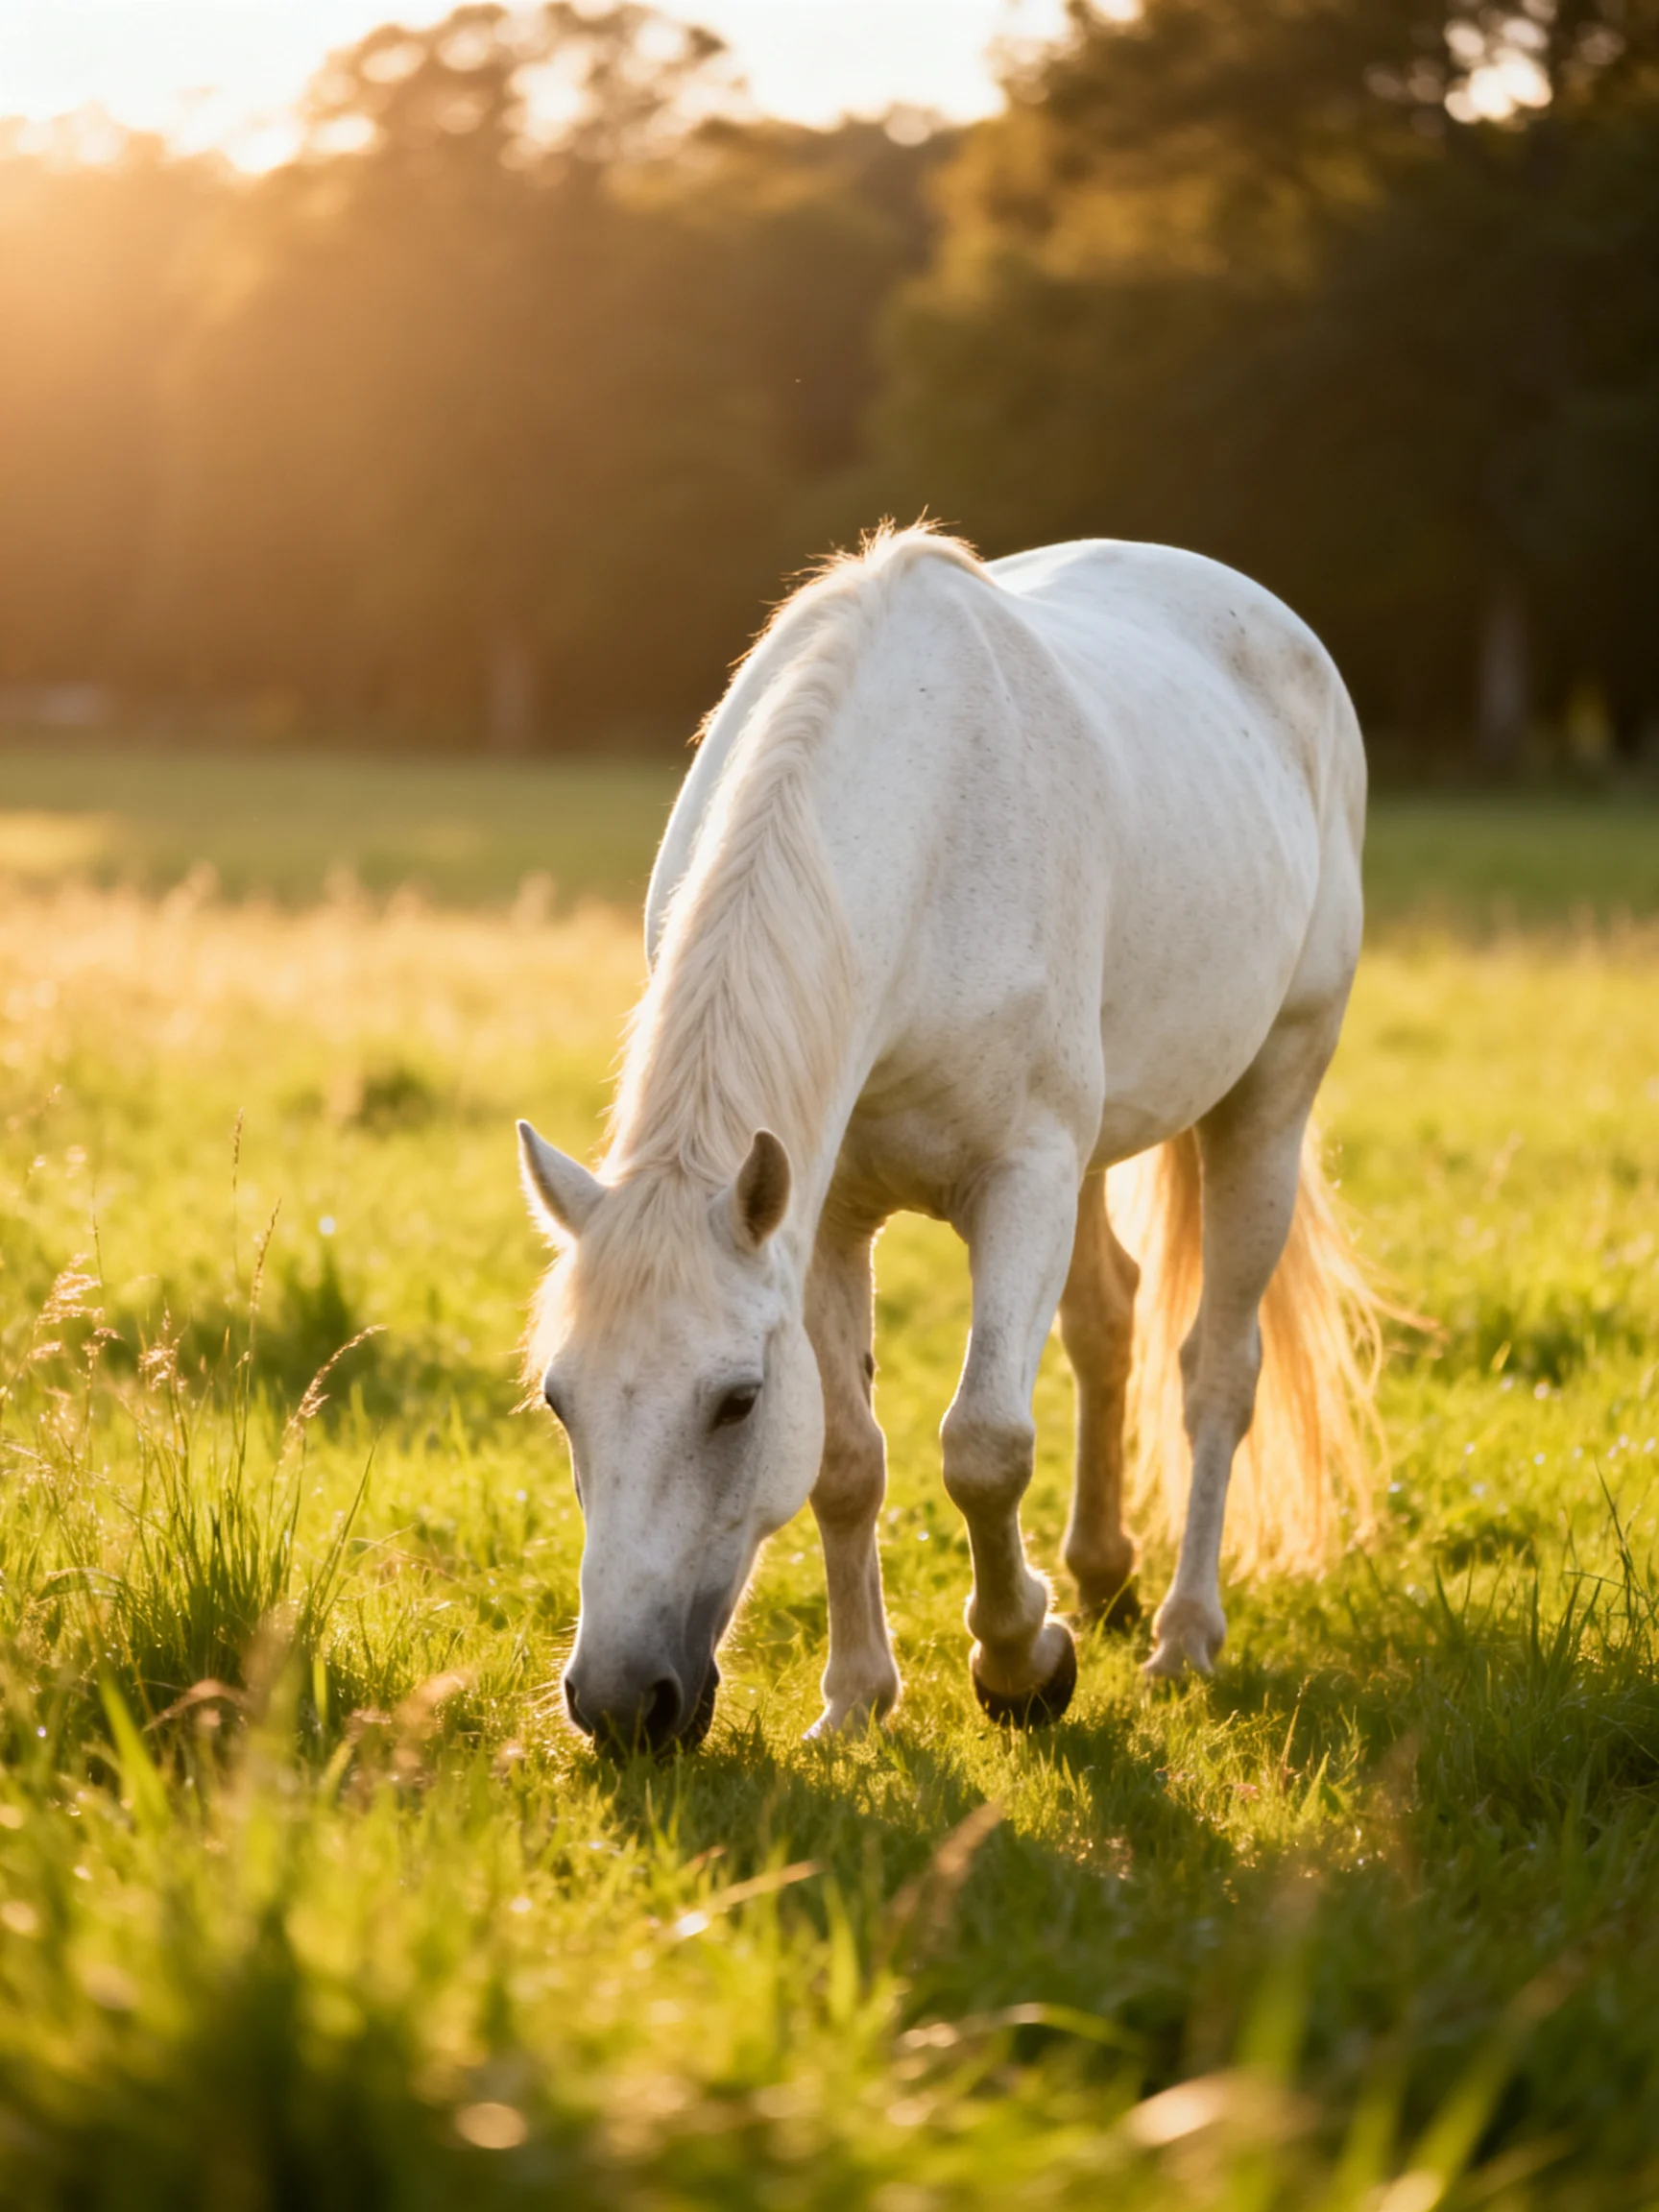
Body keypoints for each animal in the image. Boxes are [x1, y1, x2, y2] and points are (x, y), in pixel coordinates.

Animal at [517, 527, 1380, 1755]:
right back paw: (1102, 1571)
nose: (622, 1703)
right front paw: (854, 1700)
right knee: (1108, 1320)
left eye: (736, 1401)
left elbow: (984, 1447)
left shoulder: (1021, 1181)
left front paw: (1023, 1665)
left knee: (1217, 1368)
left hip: (1266, 1100)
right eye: (561, 1399)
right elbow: (845, 1459)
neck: (929, 844)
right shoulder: (822, 1212)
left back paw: (1183, 1634)